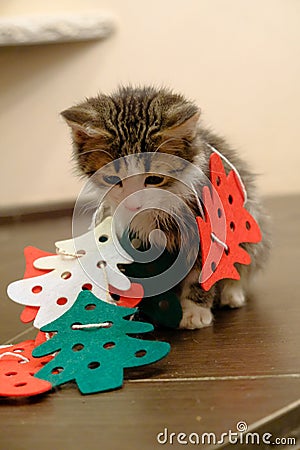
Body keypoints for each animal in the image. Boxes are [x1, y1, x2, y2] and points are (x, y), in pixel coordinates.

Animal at [61, 85, 270, 330]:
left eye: (154, 179)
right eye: (112, 178)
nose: (133, 204)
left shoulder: (207, 225)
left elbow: (204, 270)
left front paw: (195, 311)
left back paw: (231, 294)